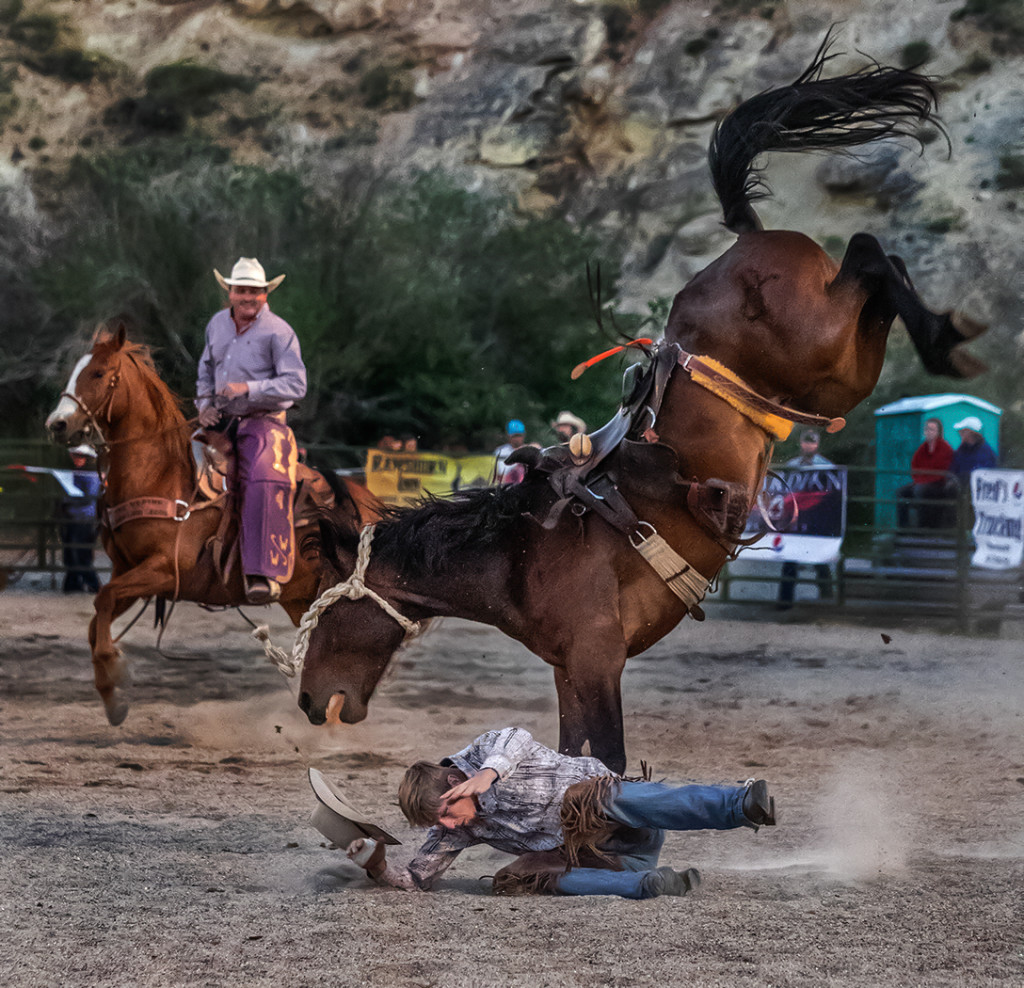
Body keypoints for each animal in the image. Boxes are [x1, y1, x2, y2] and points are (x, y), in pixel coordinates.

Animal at [44, 327, 380, 720]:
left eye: (97, 373)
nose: (57, 425)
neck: (162, 475)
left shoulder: (165, 571)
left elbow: (104, 602)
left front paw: (114, 681)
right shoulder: (127, 572)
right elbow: (99, 614)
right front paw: (111, 685)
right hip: (304, 600)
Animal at [284, 46, 987, 769]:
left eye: (322, 608)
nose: (309, 702)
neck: (516, 552)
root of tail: (746, 238)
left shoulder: (598, 660)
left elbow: (610, 763)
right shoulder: (570, 669)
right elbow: (575, 753)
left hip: (825, 348)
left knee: (872, 253)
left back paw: (946, 341)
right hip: (837, 370)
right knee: (877, 261)